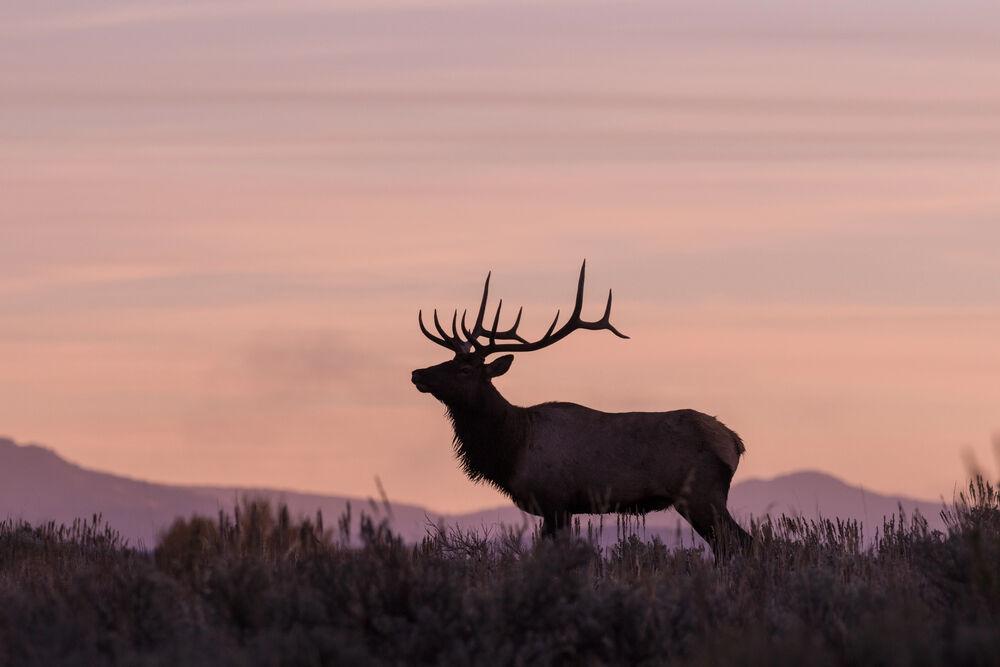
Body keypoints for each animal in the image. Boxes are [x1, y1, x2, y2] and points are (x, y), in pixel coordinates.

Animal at [411, 262, 752, 558]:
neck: (512, 447)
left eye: (465, 370)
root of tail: (735, 442)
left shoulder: (555, 500)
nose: (417, 373)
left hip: (701, 495)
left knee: (740, 543)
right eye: (449, 360)